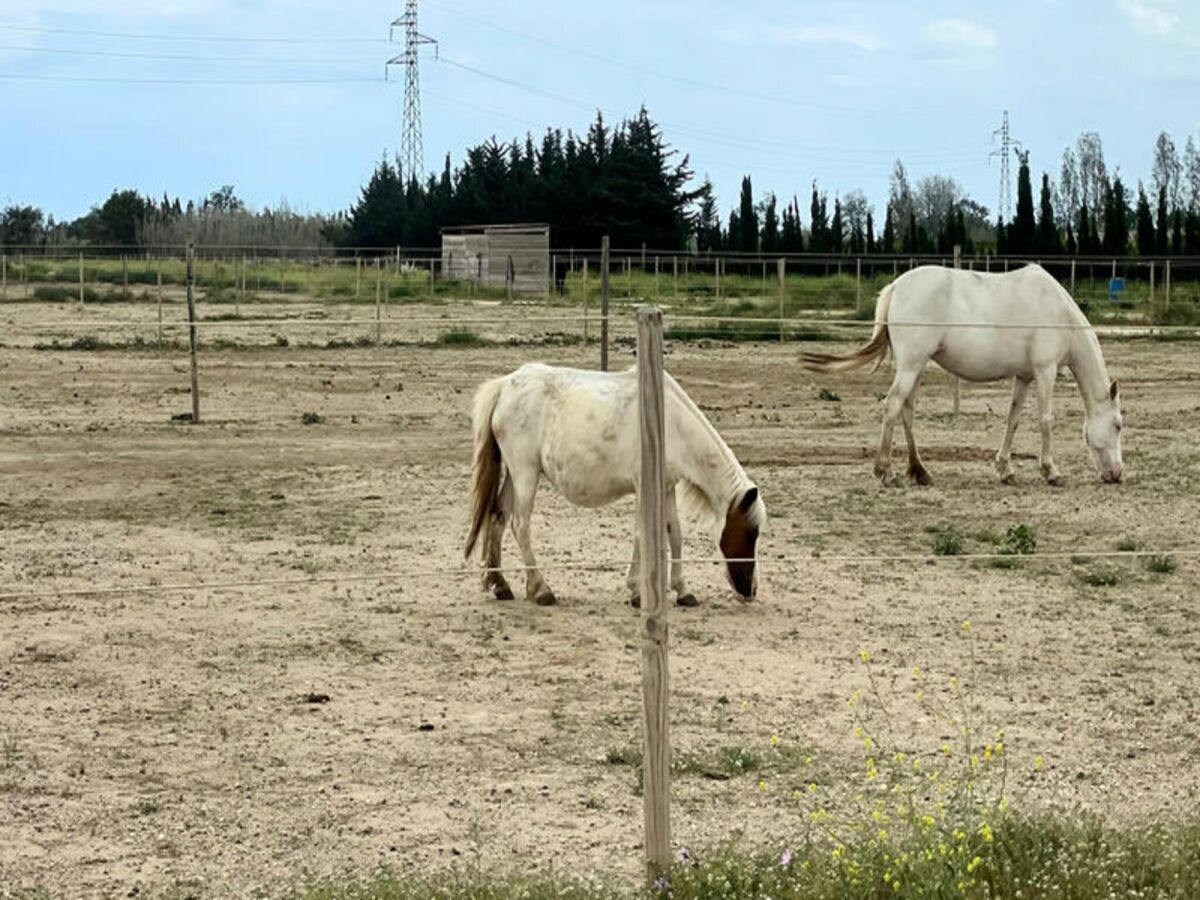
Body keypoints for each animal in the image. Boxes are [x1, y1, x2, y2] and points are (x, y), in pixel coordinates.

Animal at [463, 362, 763, 609]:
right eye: (751, 533)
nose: (750, 591)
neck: (672, 423)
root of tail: (504, 386)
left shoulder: (666, 487)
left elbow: (674, 534)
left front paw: (683, 591)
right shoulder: (644, 487)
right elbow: (641, 534)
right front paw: (637, 592)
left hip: (514, 475)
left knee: (498, 517)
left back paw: (501, 585)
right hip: (525, 474)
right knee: (520, 525)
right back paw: (541, 590)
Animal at [806, 264, 1123, 487]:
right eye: (1118, 425)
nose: (1117, 474)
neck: (1058, 312)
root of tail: (895, 287)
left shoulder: (1024, 377)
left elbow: (1013, 420)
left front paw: (1005, 470)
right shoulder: (1045, 371)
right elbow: (1046, 420)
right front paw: (1050, 471)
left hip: (914, 367)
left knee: (906, 411)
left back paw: (919, 471)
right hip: (911, 365)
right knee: (893, 406)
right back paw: (885, 471)